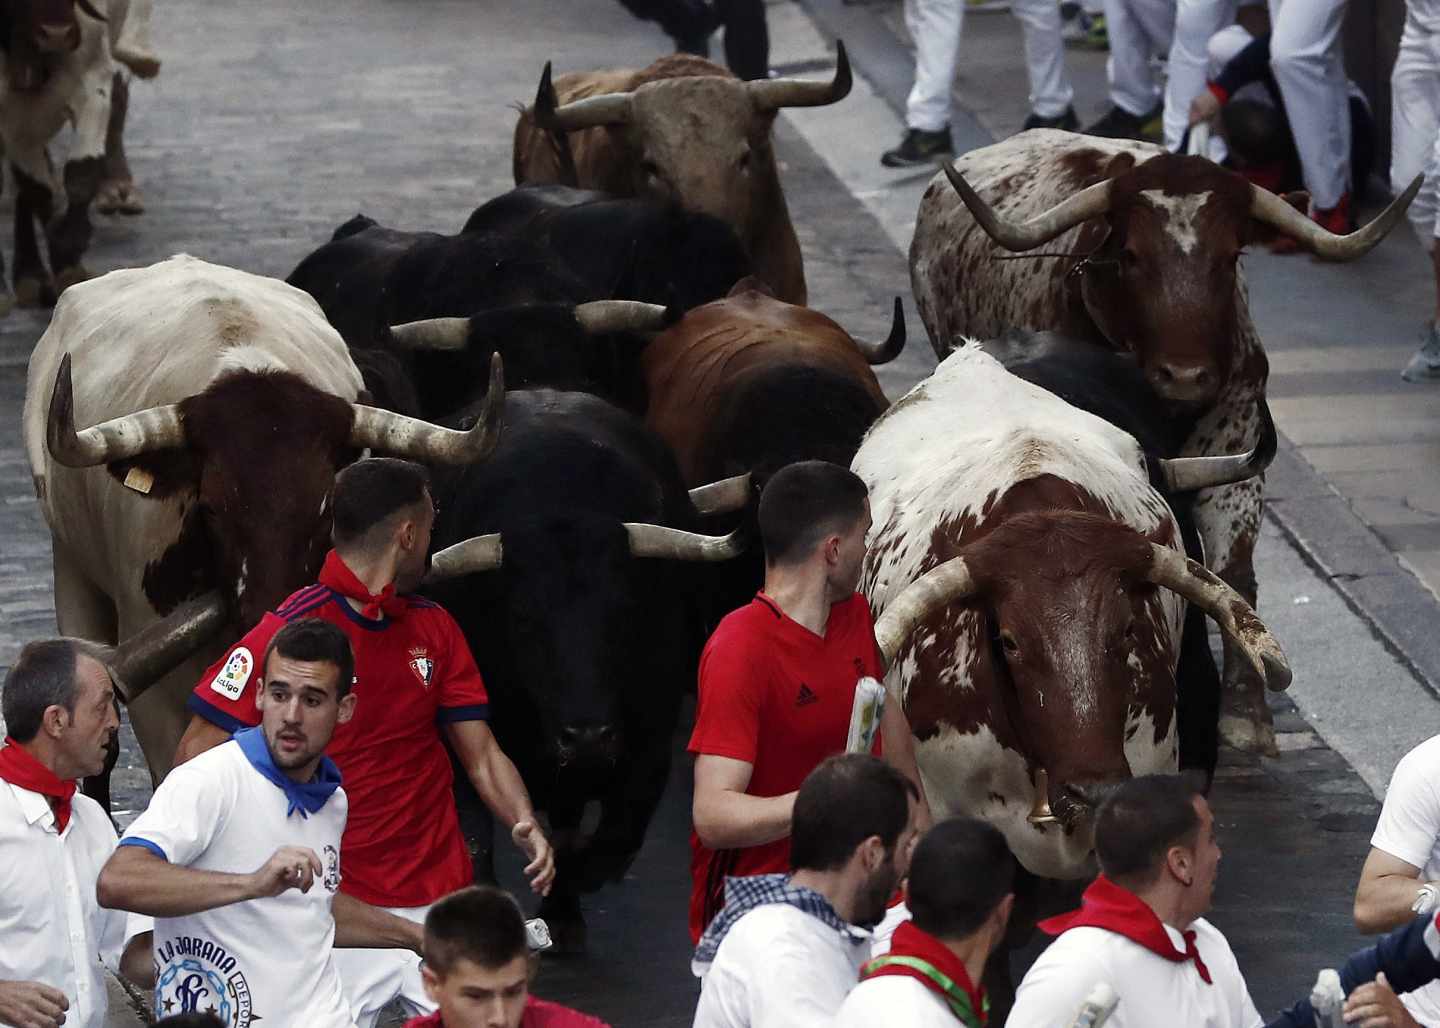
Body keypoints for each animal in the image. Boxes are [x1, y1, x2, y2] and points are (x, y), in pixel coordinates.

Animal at [910, 128, 1416, 754]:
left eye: (1231, 257)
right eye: (1131, 256)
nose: (1186, 375)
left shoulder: (1236, 442)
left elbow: (1233, 571)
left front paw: (1246, 716)